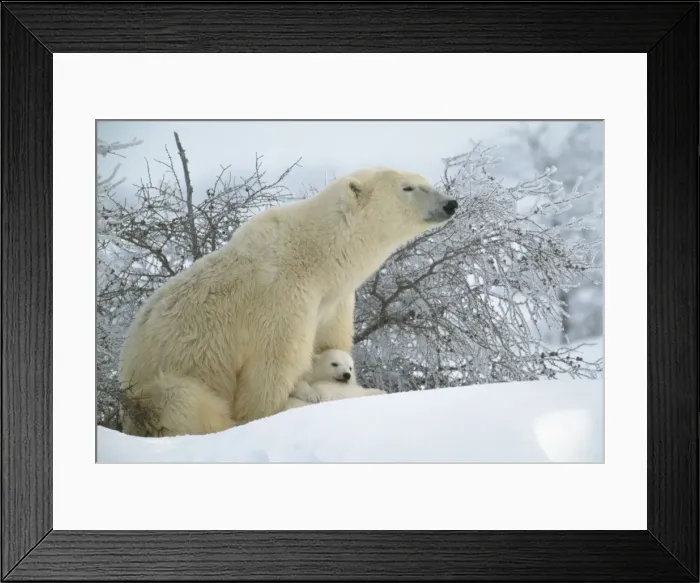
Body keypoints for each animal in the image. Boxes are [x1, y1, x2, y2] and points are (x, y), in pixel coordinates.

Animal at [118, 167, 458, 437]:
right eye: (408, 187)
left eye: (425, 181)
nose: (450, 203)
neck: (314, 257)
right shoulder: (282, 297)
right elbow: (271, 370)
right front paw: (277, 409)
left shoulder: (334, 301)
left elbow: (330, 342)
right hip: (153, 390)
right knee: (181, 400)